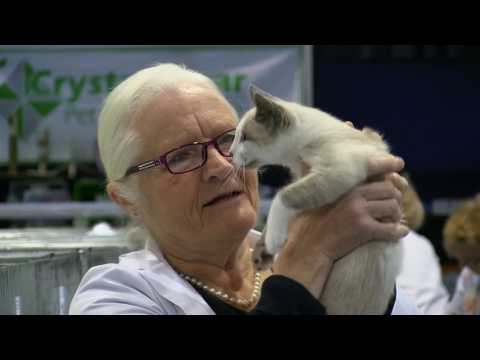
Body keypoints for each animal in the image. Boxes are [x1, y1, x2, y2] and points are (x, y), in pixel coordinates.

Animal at [231, 85, 404, 316]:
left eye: (243, 138)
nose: (230, 153)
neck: (298, 153)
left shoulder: (339, 171)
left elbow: (281, 197)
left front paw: (274, 241)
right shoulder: (305, 176)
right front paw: (263, 252)